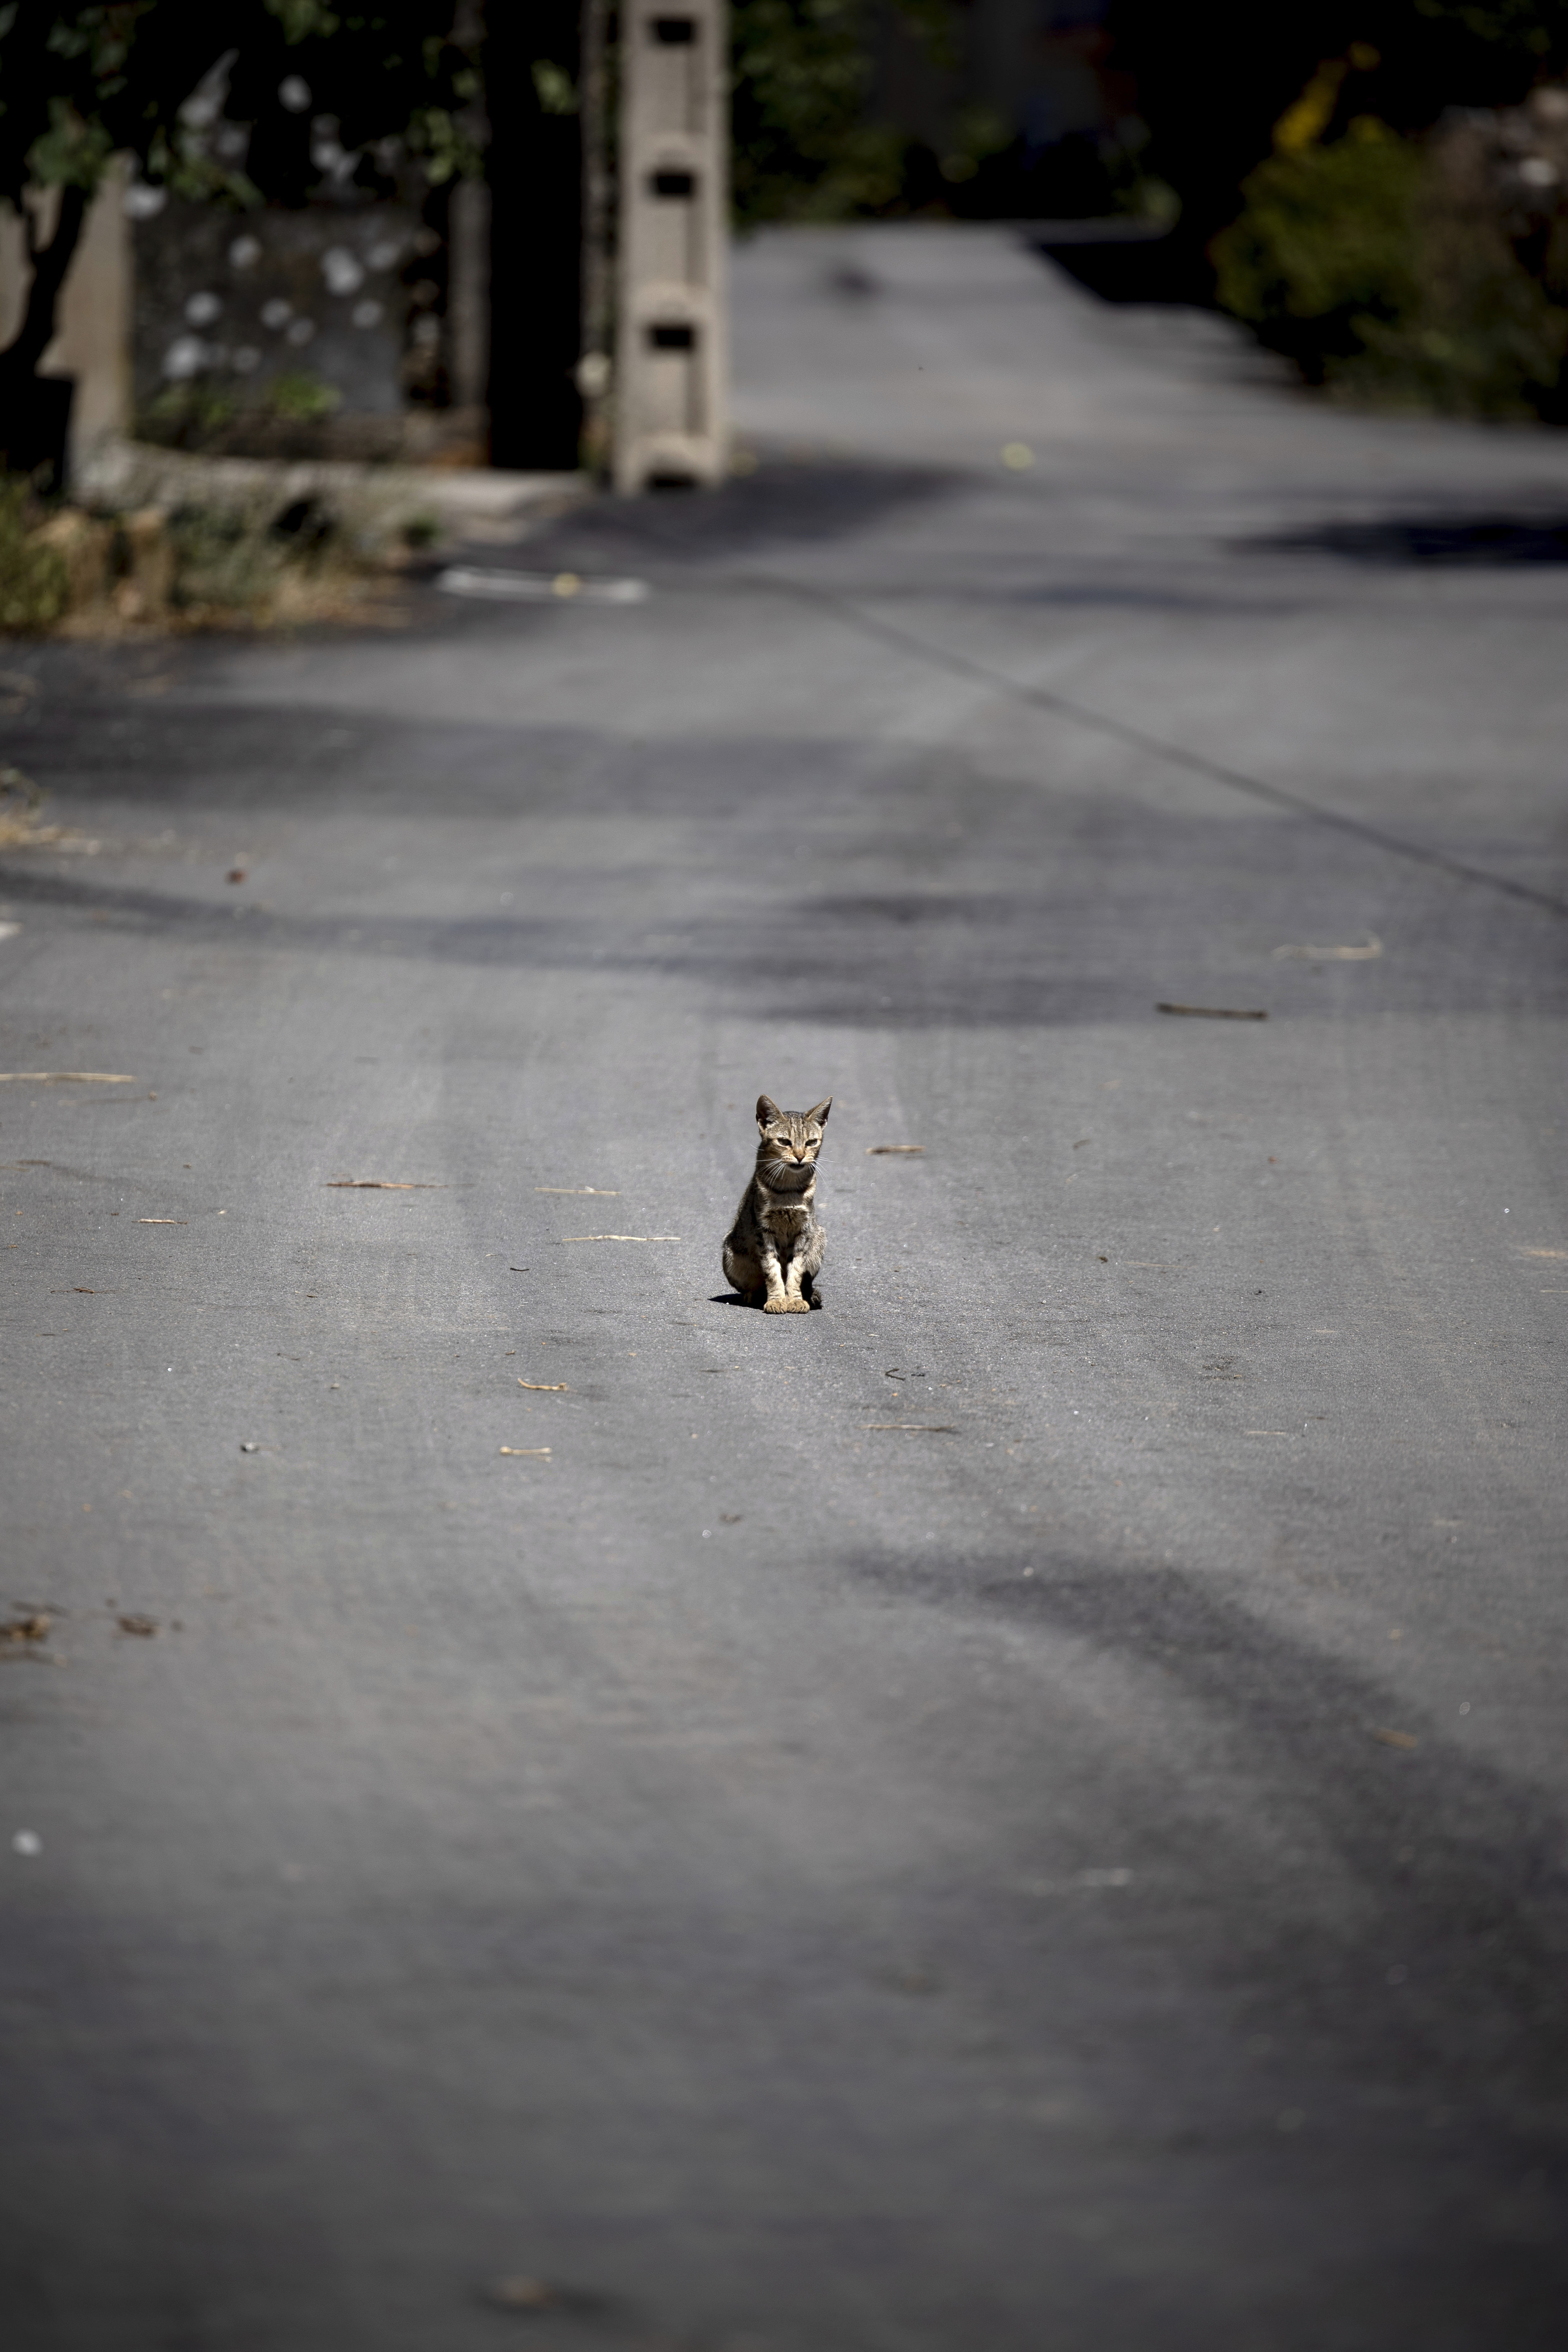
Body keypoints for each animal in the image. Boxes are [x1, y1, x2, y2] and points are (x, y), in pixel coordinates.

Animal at [724, 1096, 832, 1317]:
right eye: (784, 1142)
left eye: (811, 1143)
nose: (800, 1156)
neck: (788, 1191)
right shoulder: (764, 1231)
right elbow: (772, 1271)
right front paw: (776, 1300)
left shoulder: (804, 1231)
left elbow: (796, 1271)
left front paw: (795, 1300)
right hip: (730, 1254)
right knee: (752, 1287)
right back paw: (755, 1296)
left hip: (819, 1238)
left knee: (807, 1281)